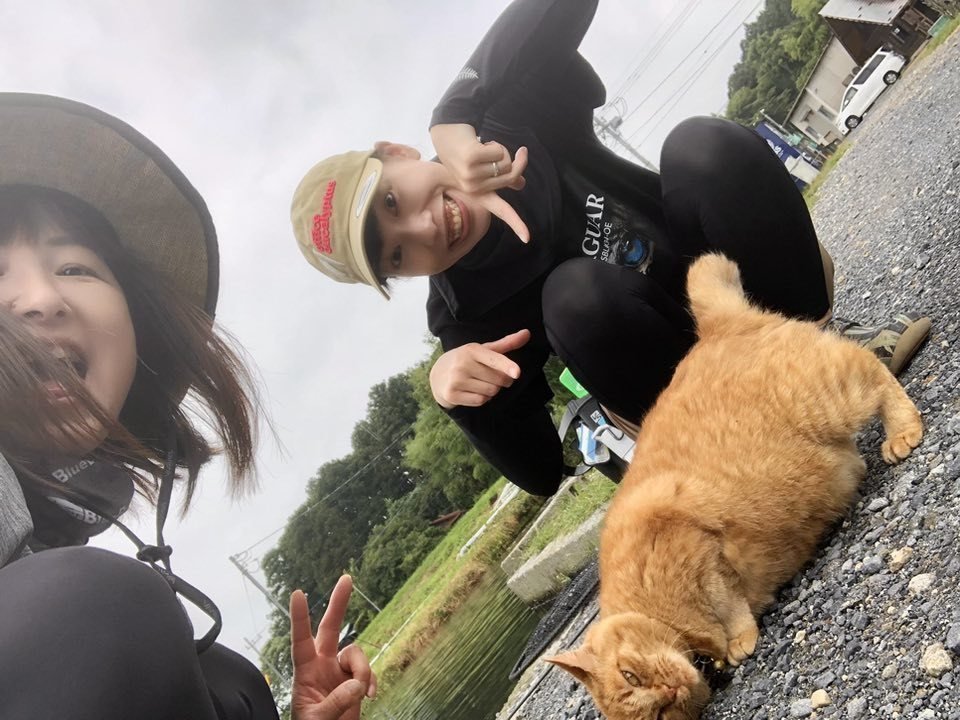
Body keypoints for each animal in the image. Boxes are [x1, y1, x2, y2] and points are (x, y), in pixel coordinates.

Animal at [546, 253, 923, 720]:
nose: (669, 690)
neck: (655, 614)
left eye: (630, 674)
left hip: (829, 395)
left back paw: (901, 430)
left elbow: (726, 601)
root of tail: (715, 327)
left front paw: (739, 636)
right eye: (657, 713)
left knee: (874, 372)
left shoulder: (696, 546)